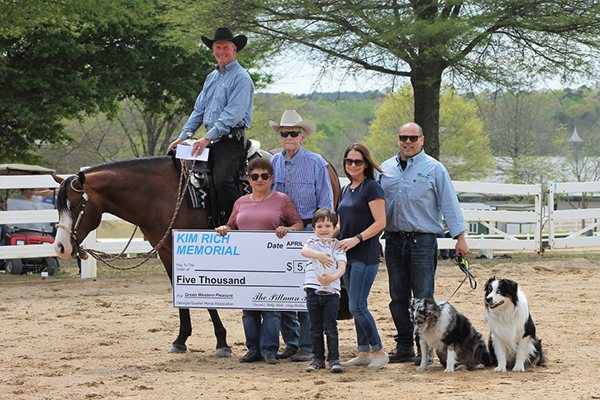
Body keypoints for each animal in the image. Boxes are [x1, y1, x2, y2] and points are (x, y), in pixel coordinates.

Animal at [52, 155, 340, 354]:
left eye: (75, 206)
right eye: (57, 206)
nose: (61, 247)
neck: (160, 194)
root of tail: (326, 163)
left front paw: (222, 341)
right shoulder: (167, 251)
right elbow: (181, 295)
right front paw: (180, 340)